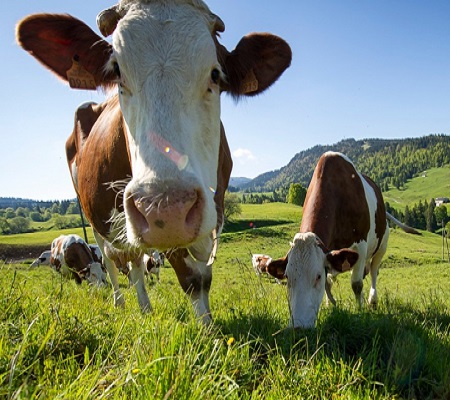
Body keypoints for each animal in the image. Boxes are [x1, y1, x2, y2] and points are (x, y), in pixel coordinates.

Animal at [14, 0, 292, 324]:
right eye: (116, 72)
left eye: (215, 74)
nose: (166, 209)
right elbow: (191, 279)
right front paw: (207, 329)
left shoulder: (215, 210)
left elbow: (205, 276)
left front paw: (208, 323)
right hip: (96, 220)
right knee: (114, 263)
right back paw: (124, 303)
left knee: (134, 262)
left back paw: (145, 308)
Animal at [266, 152, 388, 330]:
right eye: (287, 277)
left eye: (317, 276)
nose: (299, 327)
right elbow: (328, 285)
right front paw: (331, 307)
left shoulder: (360, 246)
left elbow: (356, 284)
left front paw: (359, 312)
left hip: (382, 245)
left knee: (373, 271)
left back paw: (372, 301)